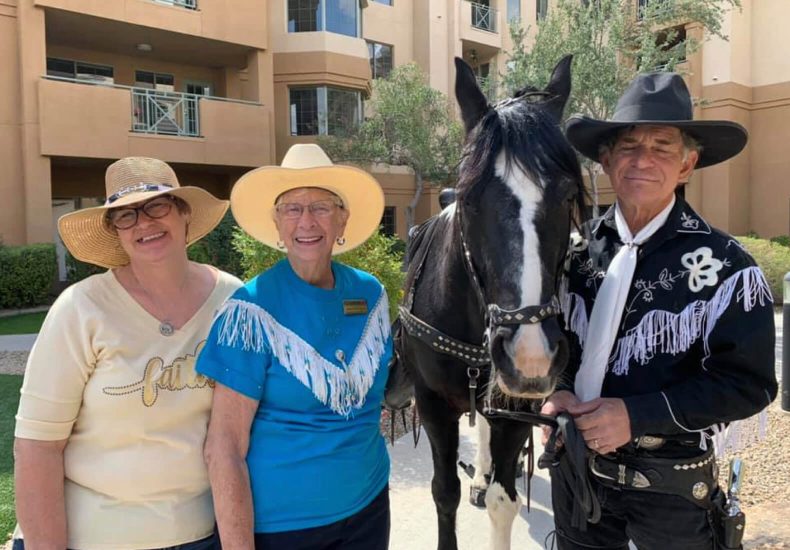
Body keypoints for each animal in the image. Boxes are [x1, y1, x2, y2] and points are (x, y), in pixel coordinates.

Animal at [390, 57, 588, 550]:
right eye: (469, 196)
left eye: (567, 195)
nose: (530, 355)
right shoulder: (433, 403)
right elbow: (444, 492)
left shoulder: (517, 405)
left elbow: (504, 501)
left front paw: (496, 483)